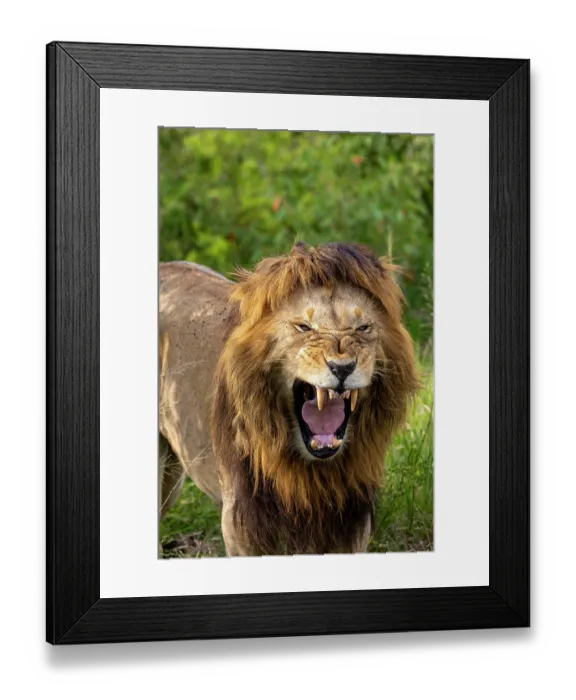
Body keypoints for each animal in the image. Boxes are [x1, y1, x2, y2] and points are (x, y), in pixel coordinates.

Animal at [158, 242, 419, 556]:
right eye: (304, 327)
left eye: (363, 328)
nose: (342, 368)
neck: (311, 472)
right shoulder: (242, 524)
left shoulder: (351, 523)